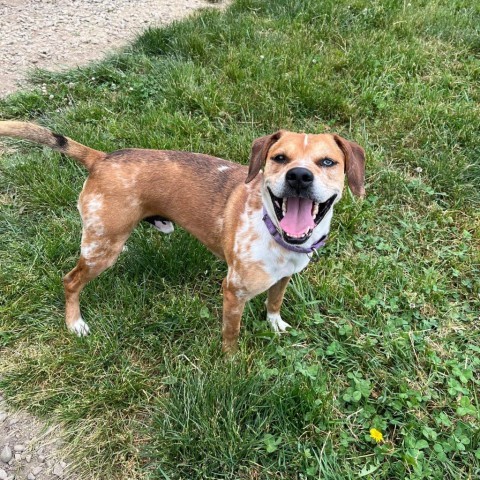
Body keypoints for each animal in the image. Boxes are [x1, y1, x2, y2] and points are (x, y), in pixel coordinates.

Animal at [0, 122, 366, 350]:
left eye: (327, 162)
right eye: (279, 158)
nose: (299, 176)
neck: (274, 232)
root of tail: (102, 159)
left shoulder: (285, 278)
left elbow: (274, 302)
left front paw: (275, 325)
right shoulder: (233, 293)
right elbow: (231, 334)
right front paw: (231, 364)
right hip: (100, 251)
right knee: (70, 280)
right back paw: (75, 323)